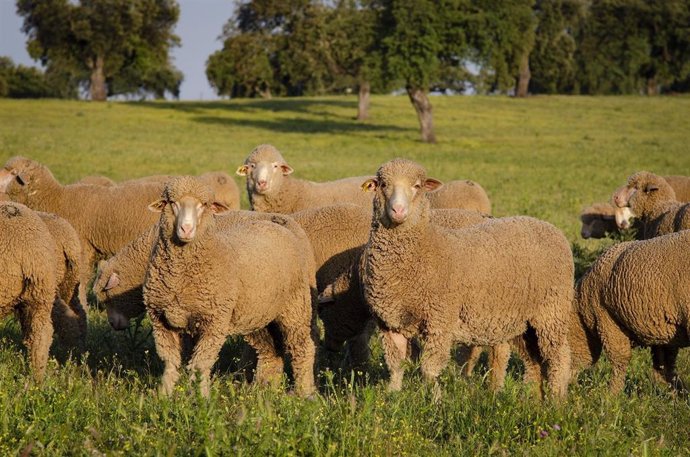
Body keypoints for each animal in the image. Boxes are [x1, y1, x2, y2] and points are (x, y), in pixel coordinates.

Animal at [145, 176, 318, 398]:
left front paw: (200, 398)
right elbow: (170, 363)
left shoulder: (214, 321)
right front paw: (163, 396)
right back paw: (265, 391)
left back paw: (305, 393)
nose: (186, 229)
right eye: (172, 203)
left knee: (302, 347)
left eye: (204, 205)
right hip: (259, 314)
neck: (180, 278)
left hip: (295, 307)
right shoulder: (161, 320)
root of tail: (278, 224)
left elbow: (200, 364)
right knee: (270, 352)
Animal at [354, 159, 568, 398]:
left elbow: (429, 369)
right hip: (521, 322)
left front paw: (436, 399)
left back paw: (557, 398)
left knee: (559, 357)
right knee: (533, 362)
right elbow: (396, 365)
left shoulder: (439, 320)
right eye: (383, 184)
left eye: (417, 186)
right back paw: (533, 399)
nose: (398, 210)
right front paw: (393, 396)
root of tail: (548, 226)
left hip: (552, 312)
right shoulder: (389, 323)